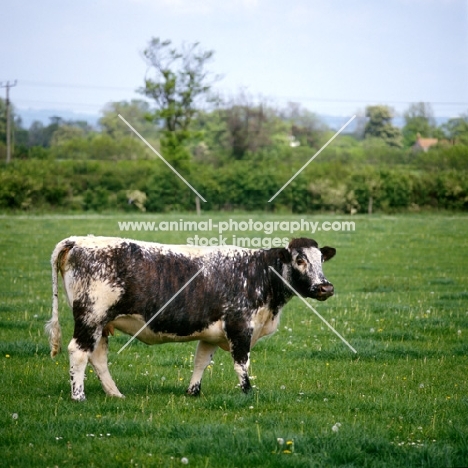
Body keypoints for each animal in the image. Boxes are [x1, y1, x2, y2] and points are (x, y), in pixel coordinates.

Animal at [45, 236, 334, 400]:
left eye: (321, 259)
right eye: (299, 260)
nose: (325, 287)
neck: (258, 273)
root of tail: (78, 240)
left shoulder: (211, 333)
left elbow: (201, 362)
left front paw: (193, 392)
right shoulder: (240, 327)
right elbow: (242, 365)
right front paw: (247, 393)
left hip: (102, 324)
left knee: (97, 357)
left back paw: (115, 394)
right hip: (91, 317)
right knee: (78, 352)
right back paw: (79, 396)